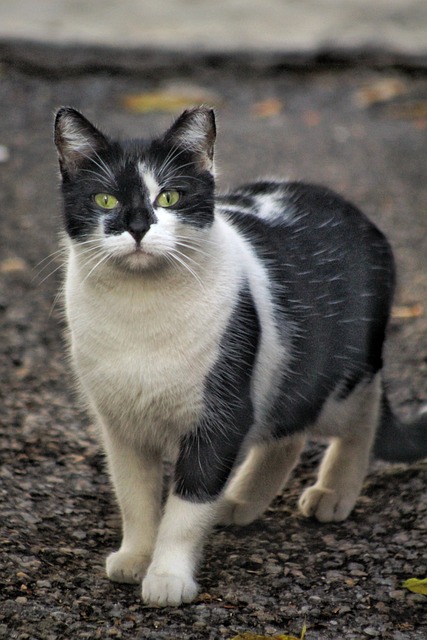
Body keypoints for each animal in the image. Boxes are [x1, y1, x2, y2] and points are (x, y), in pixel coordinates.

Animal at [54, 105, 427, 604]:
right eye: (106, 200)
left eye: (169, 196)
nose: (137, 226)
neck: (140, 315)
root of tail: (352, 209)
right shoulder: (121, 425)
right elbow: (135, 497)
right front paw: (136, 556)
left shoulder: (222, 416)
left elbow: (187, 506)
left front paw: (168, 577)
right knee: (287, 433)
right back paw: (242, 501)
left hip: (338, 377)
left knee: (358, 414)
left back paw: (334, 491)